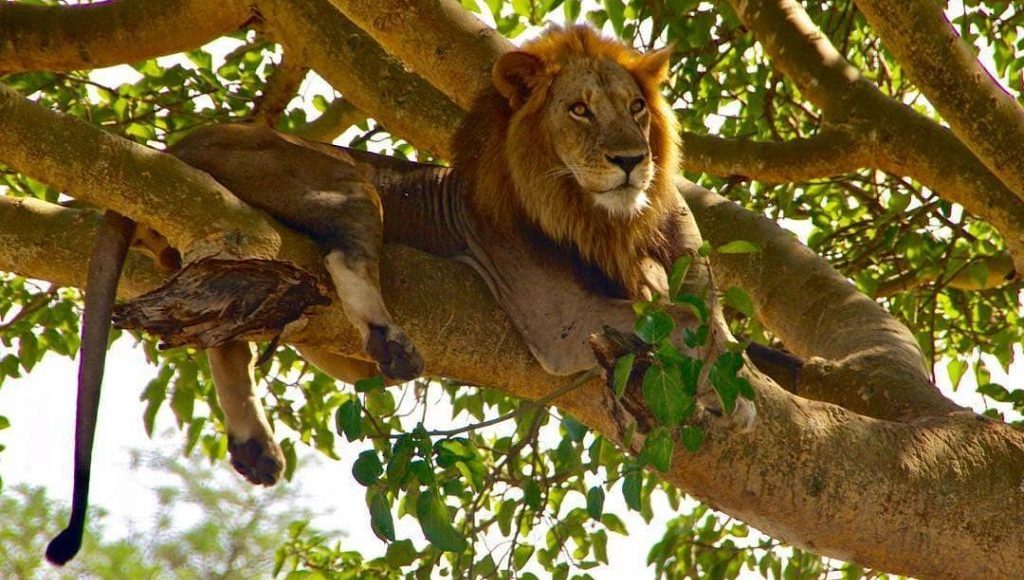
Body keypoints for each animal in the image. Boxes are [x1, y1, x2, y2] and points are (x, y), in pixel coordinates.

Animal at [48, 25, 756, 564]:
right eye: (579, 109)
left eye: (636, 107)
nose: (632, 160)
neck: (612, 220)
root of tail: (175, 141)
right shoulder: (555, 317)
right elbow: (678, 320)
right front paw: (732, 398)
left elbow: (713, 323)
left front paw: (733, 377)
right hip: (341, 179)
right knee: (344, 251)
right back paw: (391, 345)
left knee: (228, 334)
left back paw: (256, 446)